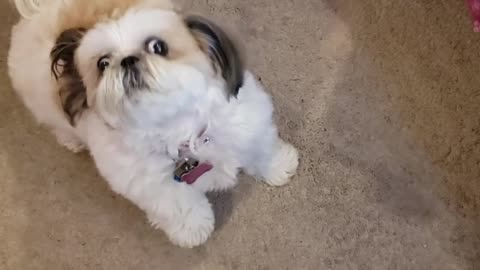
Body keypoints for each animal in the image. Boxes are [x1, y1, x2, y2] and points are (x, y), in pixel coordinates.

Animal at [9, 0, 298, 247]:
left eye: (158, 47)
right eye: (103, 63)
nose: (127, 60)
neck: (178, 129)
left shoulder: (245, 122)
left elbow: (260, 148)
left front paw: (279, 166)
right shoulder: (156, 187)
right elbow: (181, 208)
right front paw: (194, 230)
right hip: (44, 104)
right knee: (58, 124)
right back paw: (71, 140)